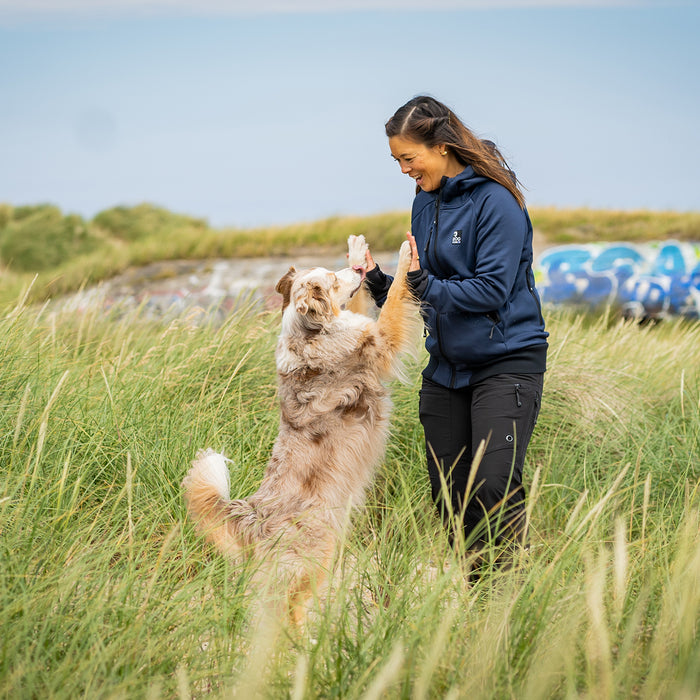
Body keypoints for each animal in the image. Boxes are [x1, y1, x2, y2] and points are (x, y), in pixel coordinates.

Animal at [182, 235, 422, 624]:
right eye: (333, 279)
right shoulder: (380, 338)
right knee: (286, 610)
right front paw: (405, 256)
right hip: (313, 557)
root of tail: (252, 514)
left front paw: (359, 250)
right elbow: (395, 297)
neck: (310, 330)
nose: (358, 270)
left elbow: (363, 303)